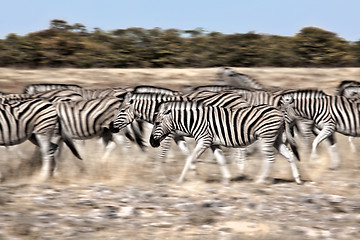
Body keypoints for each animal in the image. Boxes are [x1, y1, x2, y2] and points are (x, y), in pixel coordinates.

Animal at [148, 101, 300, 184]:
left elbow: (191, 158)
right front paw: (226, 179)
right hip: (276, 138)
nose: (151, 143)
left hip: (266, 136)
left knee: (270, 158)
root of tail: (280, 113)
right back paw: (297, 178)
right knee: (289, 155)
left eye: (157, 123)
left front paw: (181, 179)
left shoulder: (204, 139)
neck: (193, 121)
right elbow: (221, 159)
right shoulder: (213, 143)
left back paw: (260, 180)